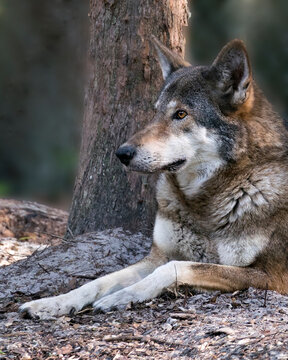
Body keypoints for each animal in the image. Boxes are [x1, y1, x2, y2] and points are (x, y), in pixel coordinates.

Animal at [19, 35, 288, 318]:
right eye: (156, 112)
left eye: (180, 114)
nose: (122, 153)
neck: (203, 204)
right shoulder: (158, 255)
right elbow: (98, 281)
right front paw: (51, 303)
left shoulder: (271, 275)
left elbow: (176, 267)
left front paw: (121, 296)